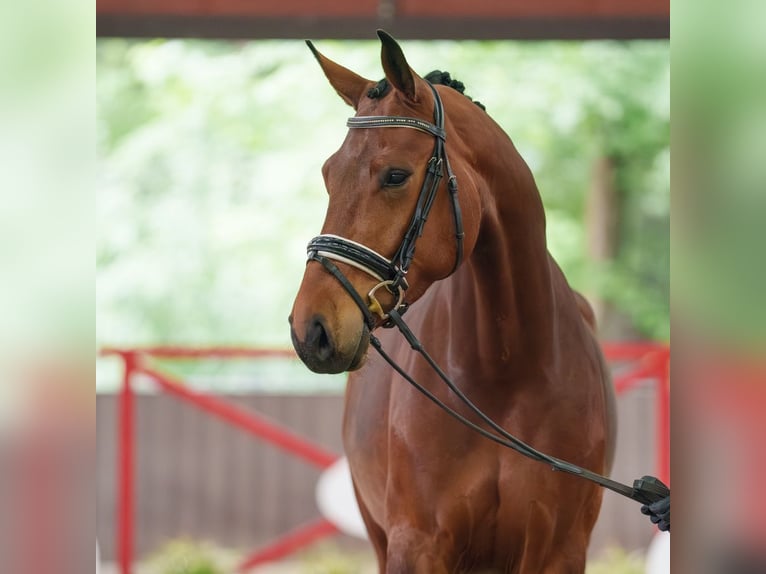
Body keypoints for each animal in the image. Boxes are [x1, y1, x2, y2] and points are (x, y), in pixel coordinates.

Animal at [289, 31, 616, 573]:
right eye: (328, 174)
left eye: (396, 175)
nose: (309, 329)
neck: (507, 369)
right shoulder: (416, 544)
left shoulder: (557, 552)